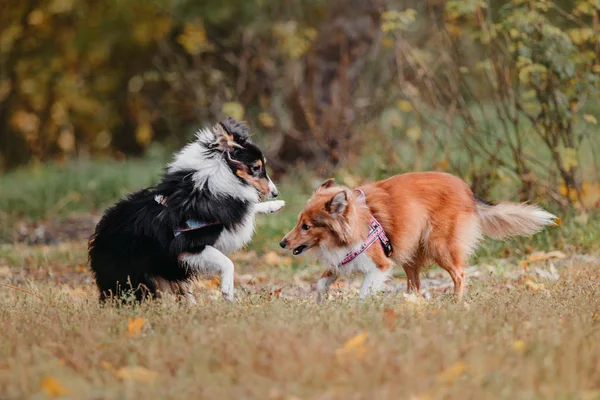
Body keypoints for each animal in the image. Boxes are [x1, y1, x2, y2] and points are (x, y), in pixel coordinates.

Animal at [88, 117, 284, 302]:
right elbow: (227, 262)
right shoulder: (188, 247)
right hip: (138, 279)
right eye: (256, 167)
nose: (275, 193)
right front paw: (227, 291)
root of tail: (97, 239)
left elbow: (250, 207)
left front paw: (274, 206)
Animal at [278, 171, 556, 300]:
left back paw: (455, 303)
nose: (282, 243)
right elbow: (320, 283)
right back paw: (410, 302)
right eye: (299, 222)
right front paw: (320, 301)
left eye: (307, 226)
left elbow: (363, 293)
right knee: (417, 284)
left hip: (439, 246)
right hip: (411, 251)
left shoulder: (379, 265)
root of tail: (467, 191)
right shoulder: (342, 261)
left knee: (460, 274)